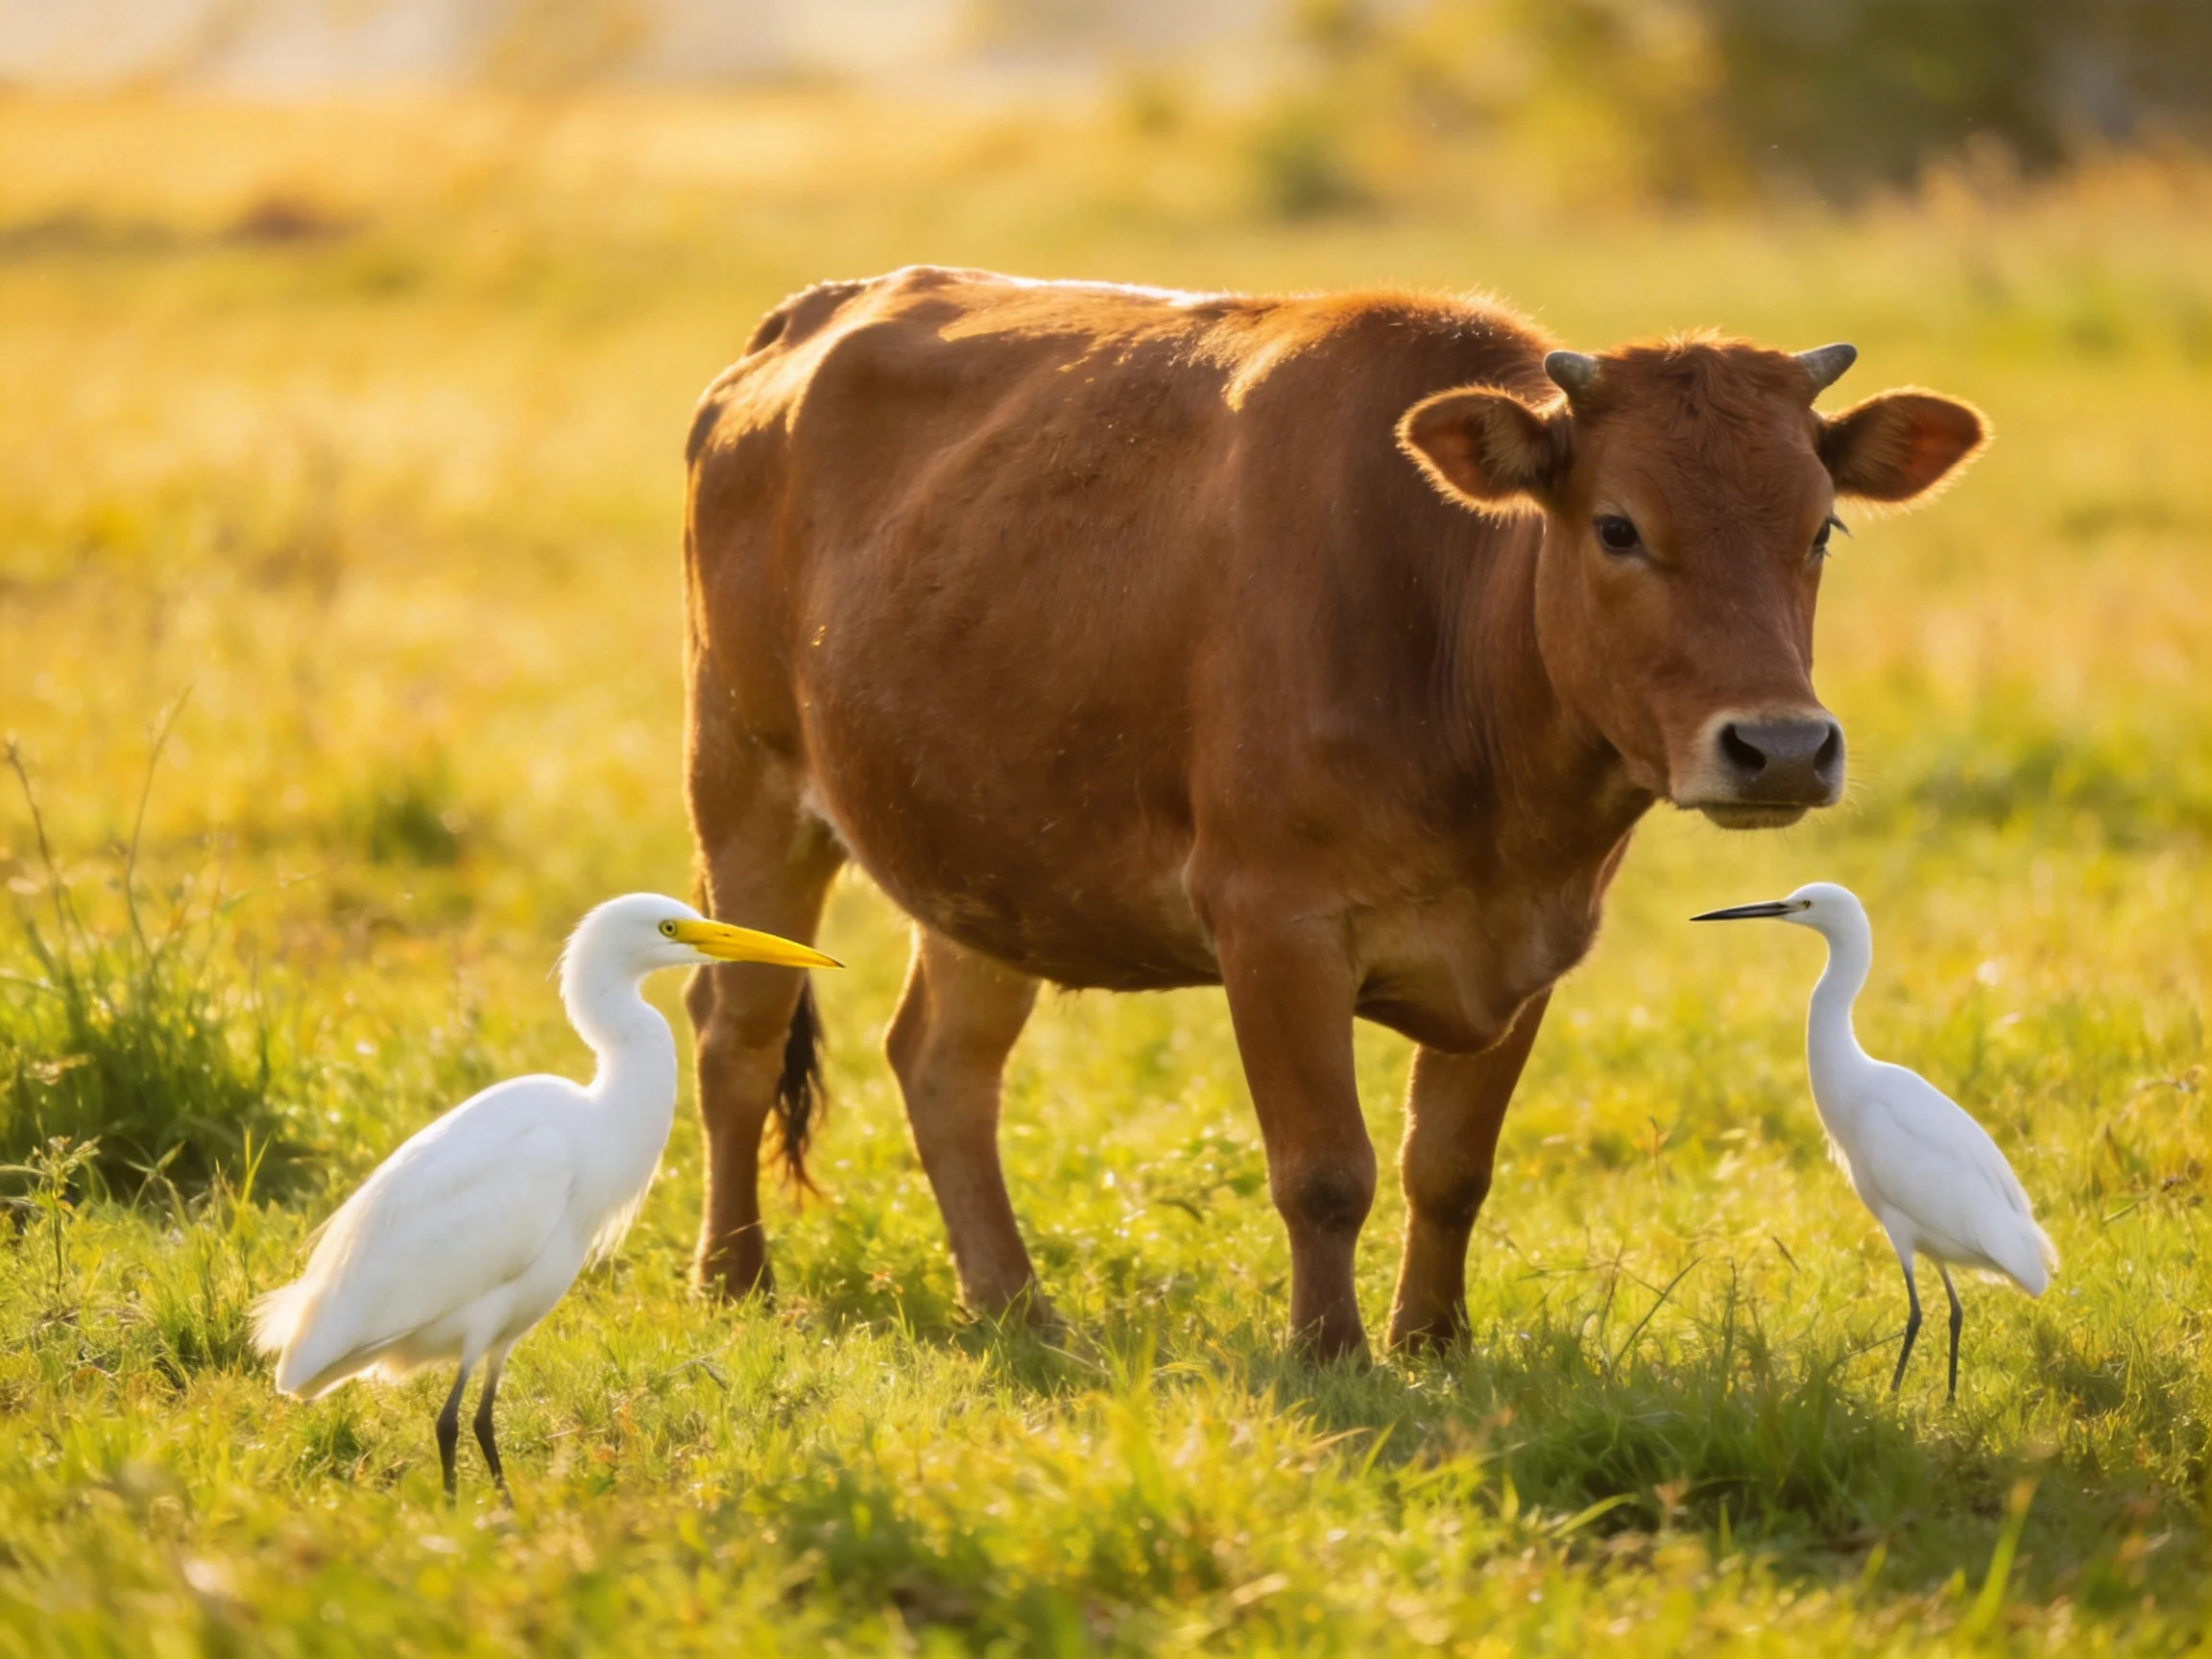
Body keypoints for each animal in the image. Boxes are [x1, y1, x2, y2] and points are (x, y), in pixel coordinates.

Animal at [678, 265, 1985, 1360]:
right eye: (1618, 527)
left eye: (1821, 527)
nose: (1781, 748)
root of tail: (812, 313)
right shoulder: (1274, 924)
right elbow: (1323, 1170)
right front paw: (1333, 1354)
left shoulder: (1534, 942)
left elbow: (1449, 1167)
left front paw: (1435, 1345)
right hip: (746, 782)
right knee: (736, 1031)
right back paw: (734, 1280)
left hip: (982, 853)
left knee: (946, 1064)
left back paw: (1018, 1310)